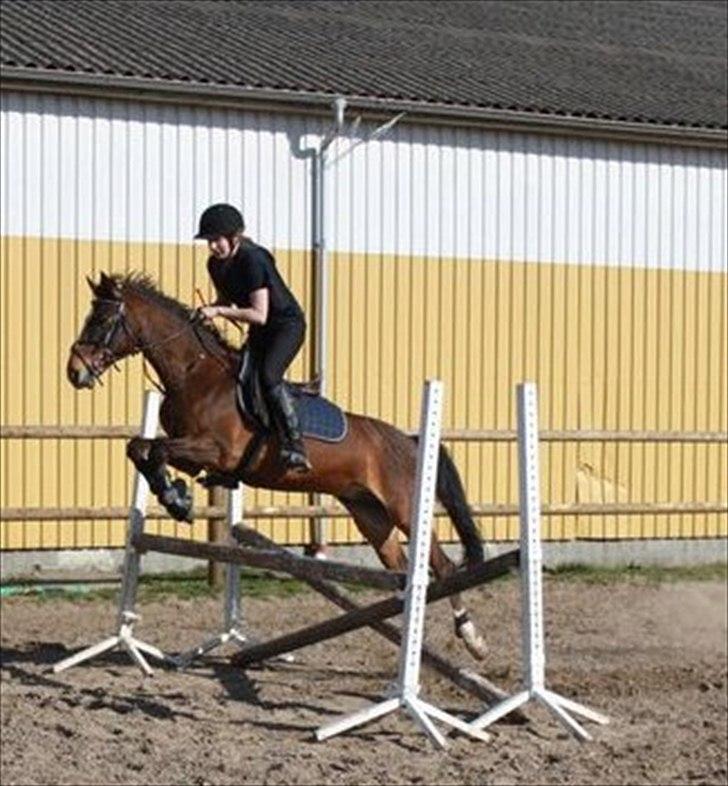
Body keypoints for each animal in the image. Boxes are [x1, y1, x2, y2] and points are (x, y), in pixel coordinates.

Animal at [67, 271, 488, 660]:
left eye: (102, 320)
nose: (74, 371)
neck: (194, 373)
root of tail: (410, 441)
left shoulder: (216, 450)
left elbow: (153, 451)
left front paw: (177, 501)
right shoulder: (190, 455)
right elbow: (140, 448)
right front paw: (177, 496)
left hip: (403, 506)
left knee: (441, 566)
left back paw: (472, 639)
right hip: (369, 514)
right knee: (401, 568)